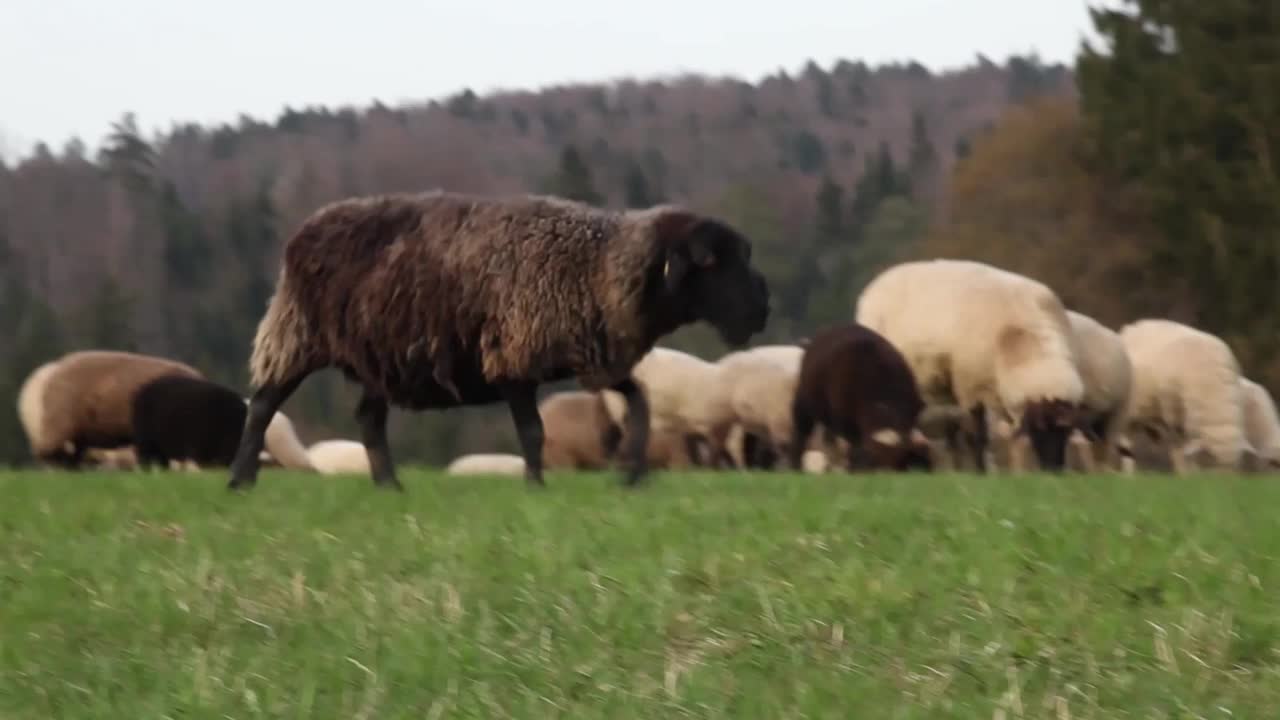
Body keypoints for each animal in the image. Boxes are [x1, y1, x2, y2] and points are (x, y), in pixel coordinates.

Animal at [226, 188, 768, 489]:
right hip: (296, 335)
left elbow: (639, 403)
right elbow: (532, 431)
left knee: (368, 419)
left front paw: (633, 474)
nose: (762, 310)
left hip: (379, 356)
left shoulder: (587, 352)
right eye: (712, 261)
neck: (595, 266)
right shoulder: (514, 357)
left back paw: (389, 485)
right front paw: (535, 484)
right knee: (264, 404)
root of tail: (305, 230)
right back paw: (240, 480)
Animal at [783, 324, 936, 471]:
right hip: (804, 403)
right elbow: (855, 447)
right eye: (875, 459)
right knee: (803, 432)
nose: (886, 473)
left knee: (828, 438)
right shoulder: (845, 419)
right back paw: (797, 465)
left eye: (898, 459)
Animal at [855, 257, 1085, 471]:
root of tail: (879, 280)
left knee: (948, 432)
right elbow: (976, 436)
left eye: (1066, 431)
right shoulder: (970, 388)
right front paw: (980, 471)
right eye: (1037, 429)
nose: (1053, 468)